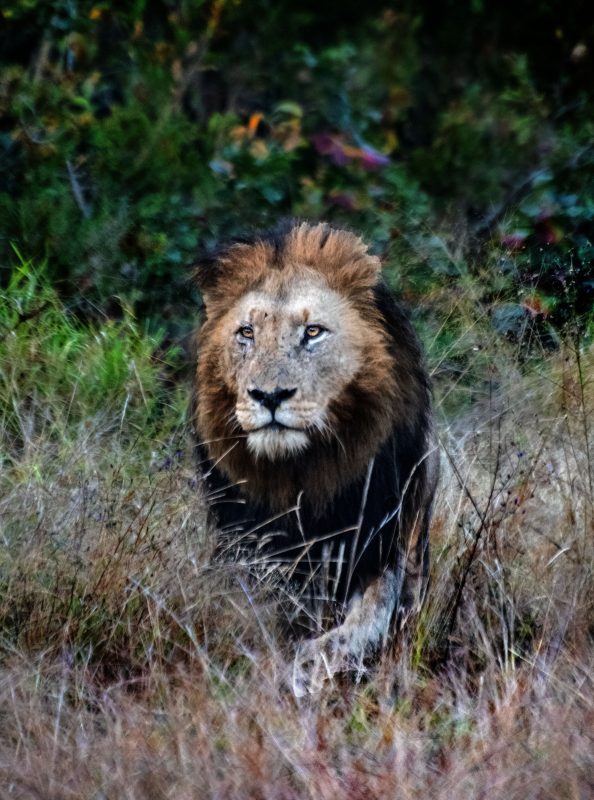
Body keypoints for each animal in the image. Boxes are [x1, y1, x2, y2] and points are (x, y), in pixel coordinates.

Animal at [192, 221, 438, 693]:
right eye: (246, 333)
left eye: (312, 332)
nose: (269, 395)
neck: (301, 476)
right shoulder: (248, 545)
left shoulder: (381, 538)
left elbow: (371, 613)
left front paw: (313, 664)